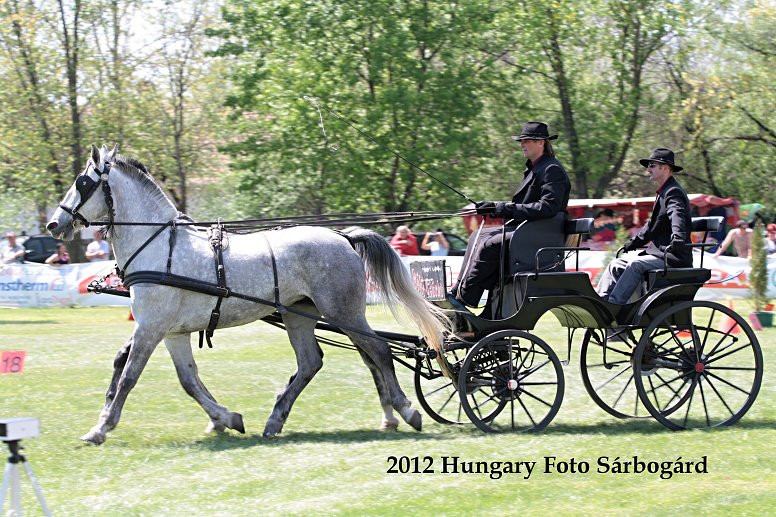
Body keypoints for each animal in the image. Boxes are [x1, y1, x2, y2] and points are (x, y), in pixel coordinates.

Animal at [48, 145, 448, 444]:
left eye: (82, 182)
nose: (55, 223)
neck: (161, 245)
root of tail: (343, 237)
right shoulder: (170, 331)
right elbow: (186, 379)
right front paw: (224, 418)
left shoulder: (151, 326)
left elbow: (130, 375)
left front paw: (101, 428)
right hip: (300, 315)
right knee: (316, 361)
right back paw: (281, 420)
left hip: (343, 312)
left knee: (378, 351)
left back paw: (406, 411)